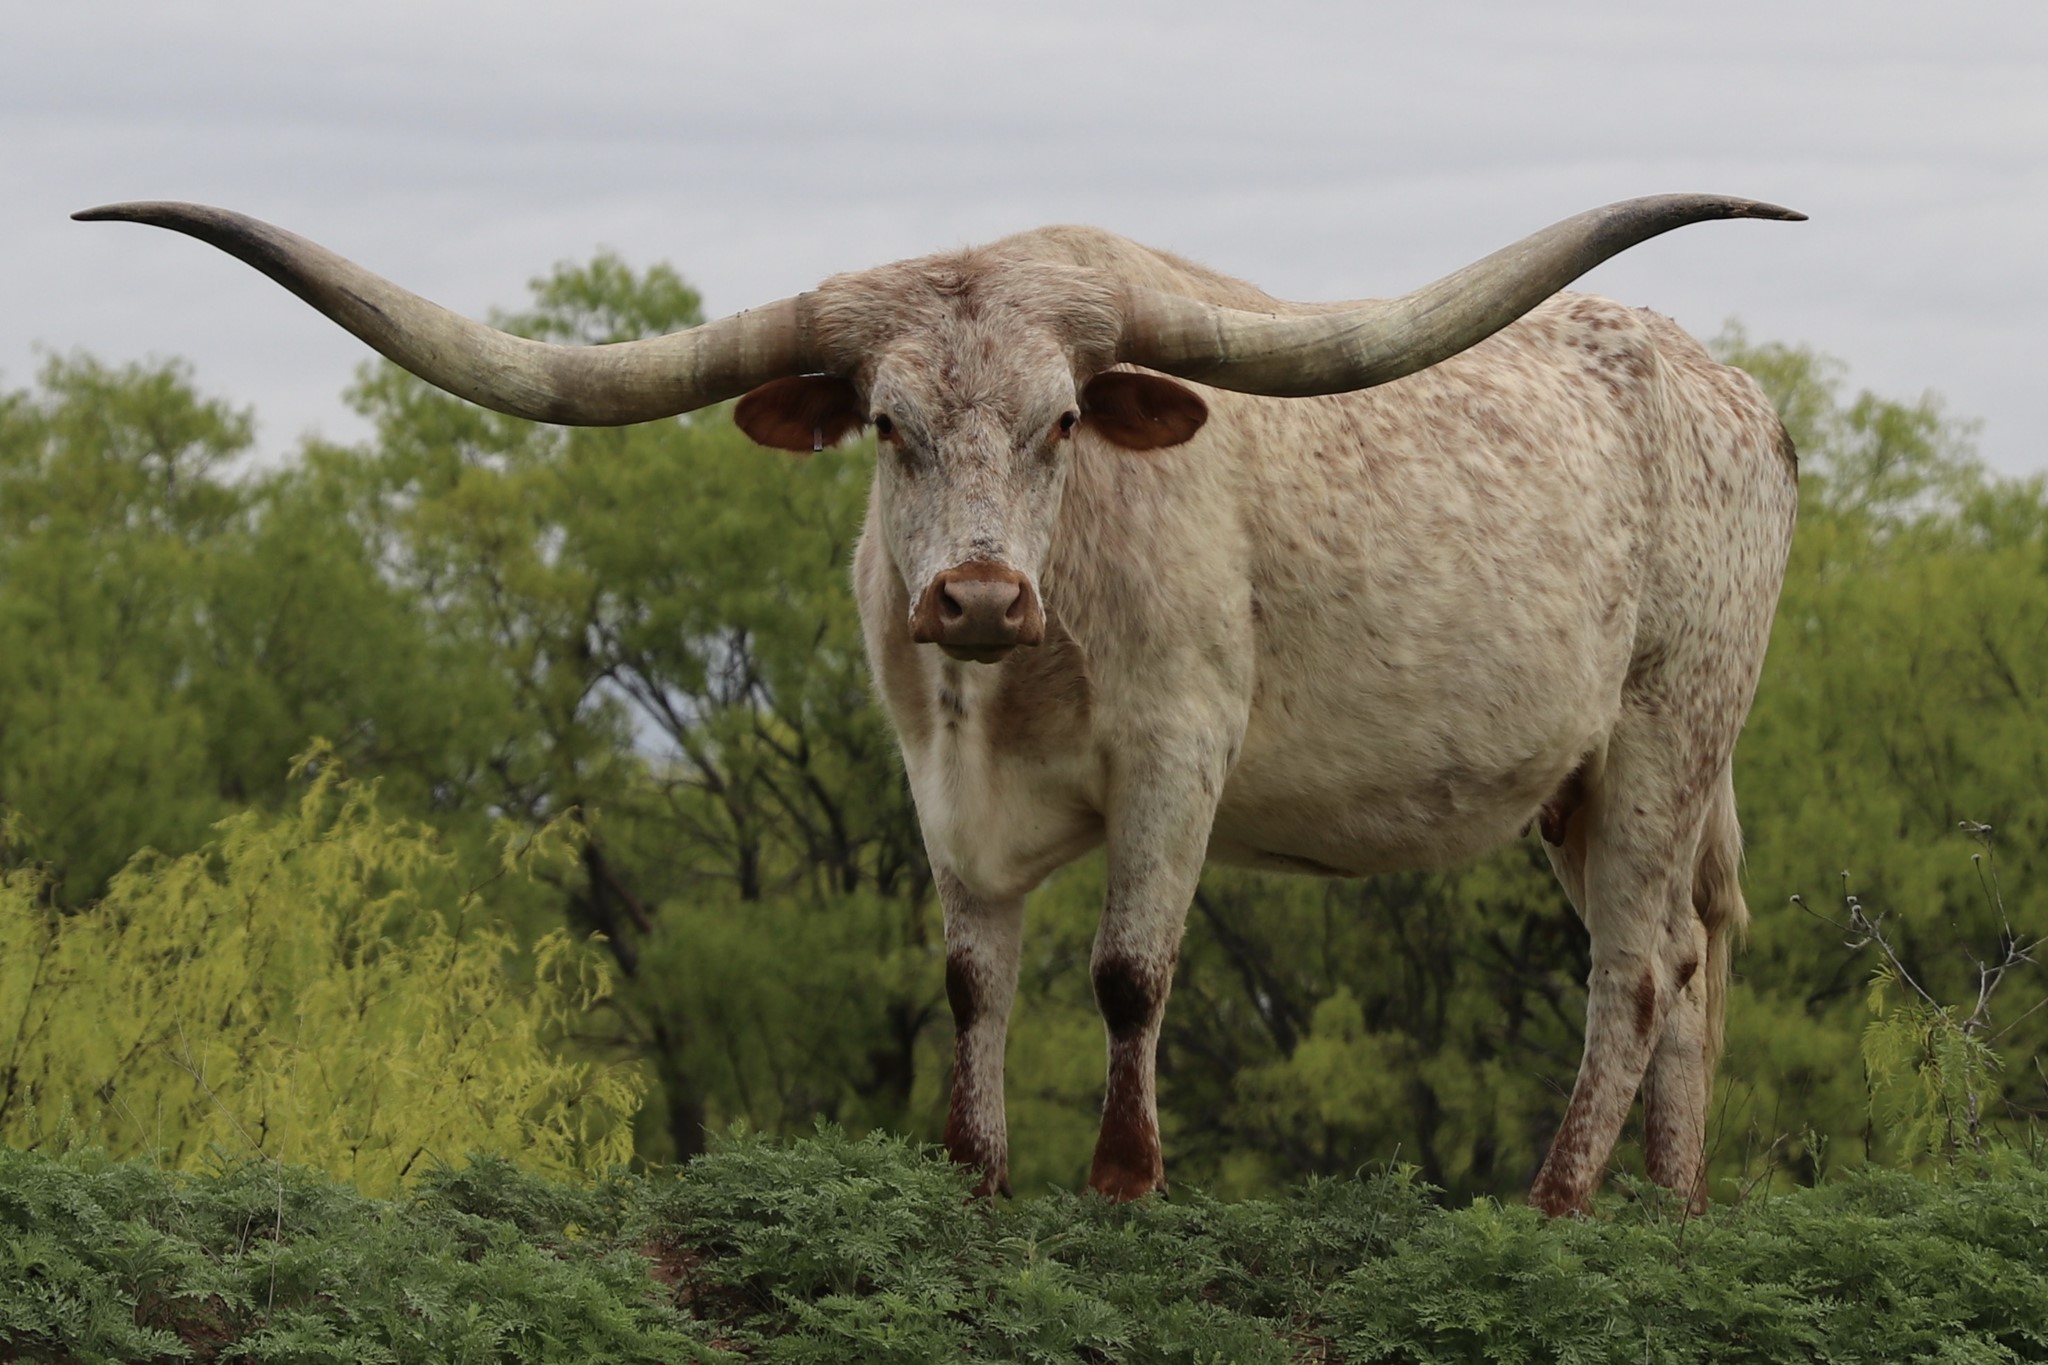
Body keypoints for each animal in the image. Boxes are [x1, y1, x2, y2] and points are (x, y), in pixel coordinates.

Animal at [77, 194, 1801, 1214]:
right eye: (890, 426)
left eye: (1062, 425)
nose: (974, 596)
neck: (1016, 676)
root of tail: (1739, 395)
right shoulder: (938, 785)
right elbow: (974, 985)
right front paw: (975, 1176)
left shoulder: (1181, 749)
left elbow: (1126, 972)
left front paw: (1121, 1181)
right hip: (1586, 785)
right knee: (1687, 960)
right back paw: (1672, 1209)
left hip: (1671, 730)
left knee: (1636, 967)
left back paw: (1559, 1204)